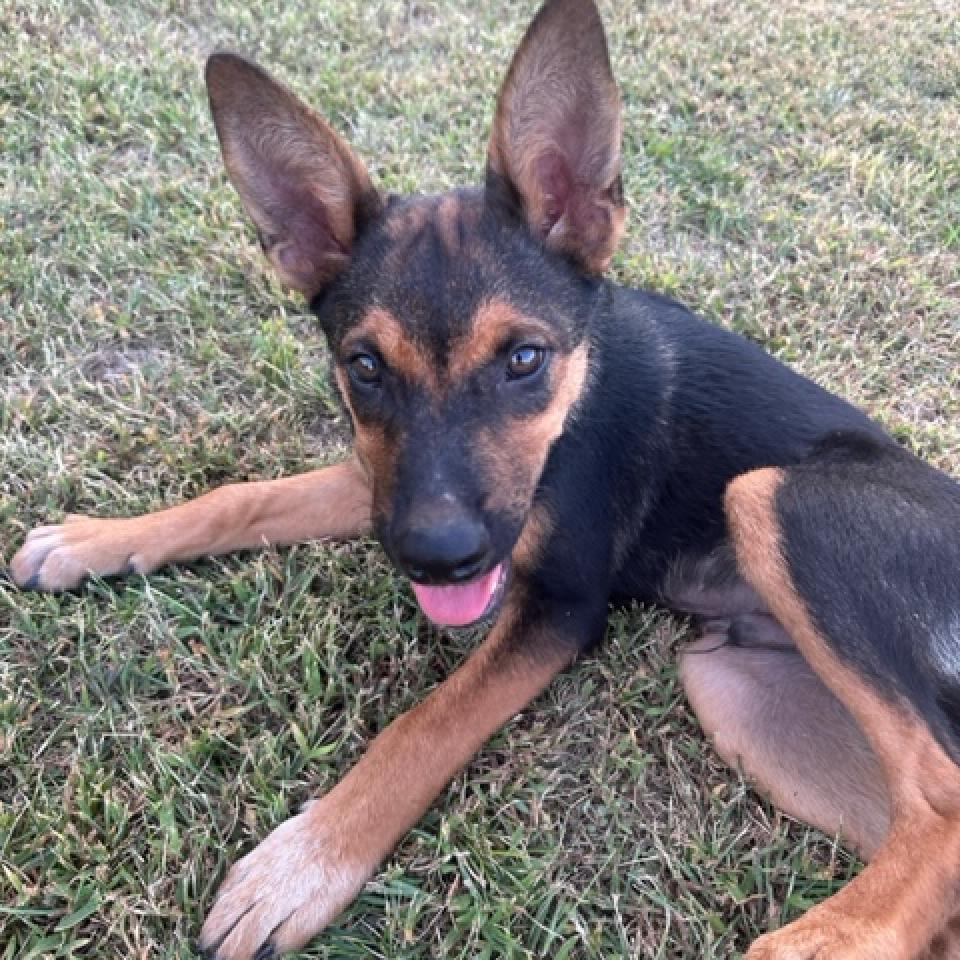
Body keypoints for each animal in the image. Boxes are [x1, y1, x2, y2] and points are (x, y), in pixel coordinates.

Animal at [13, 1, 960, 960]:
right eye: (363, 367)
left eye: (525, 359)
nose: (441, 558)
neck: (578, 391)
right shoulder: (387, 482)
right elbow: (245, 496)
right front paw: (93, 542)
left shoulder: (560, 608)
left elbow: (425, 723)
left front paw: (302, 865)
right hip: (738, 689)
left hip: (774, 500)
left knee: (940, 800)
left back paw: (819, 939)